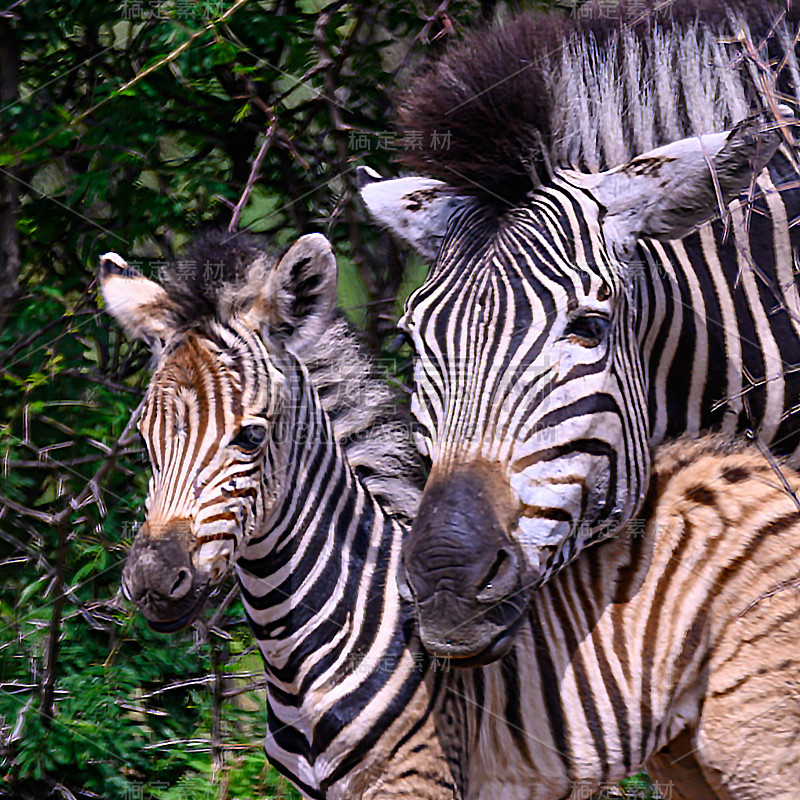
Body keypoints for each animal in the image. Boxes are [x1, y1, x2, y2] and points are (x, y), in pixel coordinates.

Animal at [98, 233, 800, 800]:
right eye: (144, 438)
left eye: (249, 437)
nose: (153, 581)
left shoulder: (421, 779)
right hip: (689, 751)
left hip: (753, 737)